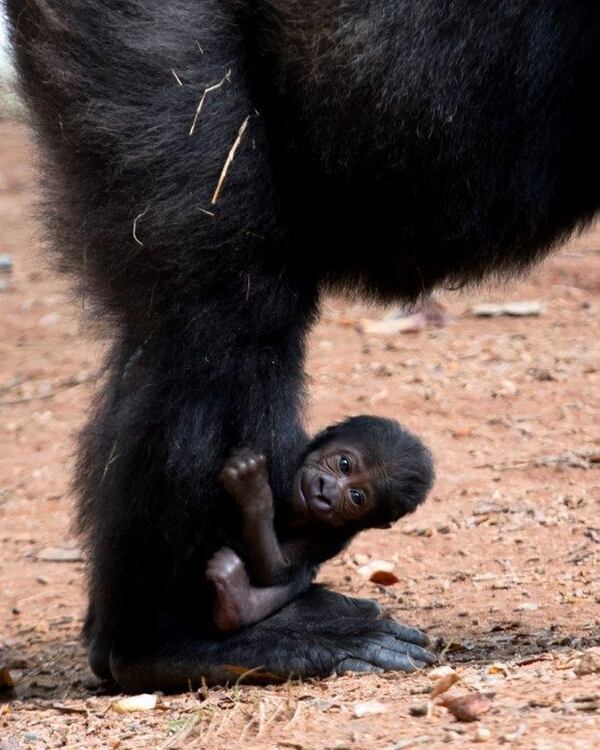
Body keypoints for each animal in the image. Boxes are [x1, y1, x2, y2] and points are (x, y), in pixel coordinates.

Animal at [206, 418, 432, 636]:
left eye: (357, 497)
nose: (326, 491)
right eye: (343, 464)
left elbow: (276, 569)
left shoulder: (331, 535)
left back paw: (236, 605)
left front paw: (255, 492)